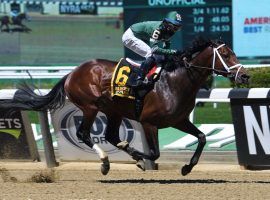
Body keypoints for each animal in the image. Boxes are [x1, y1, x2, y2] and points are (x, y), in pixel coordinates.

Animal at [0, 37, 249, 175]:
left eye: (234, 53)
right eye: (225, 54)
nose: (245, 76)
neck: (175, 81)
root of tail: (71, 73)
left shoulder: (178, 120)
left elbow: (202, 137)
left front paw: (187, 167)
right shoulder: (148, 122)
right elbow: (155, 153)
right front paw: (140, 159)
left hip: (113, 111)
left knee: (110, 135)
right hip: (90, 107)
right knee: (84, 134)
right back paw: (105, 162)